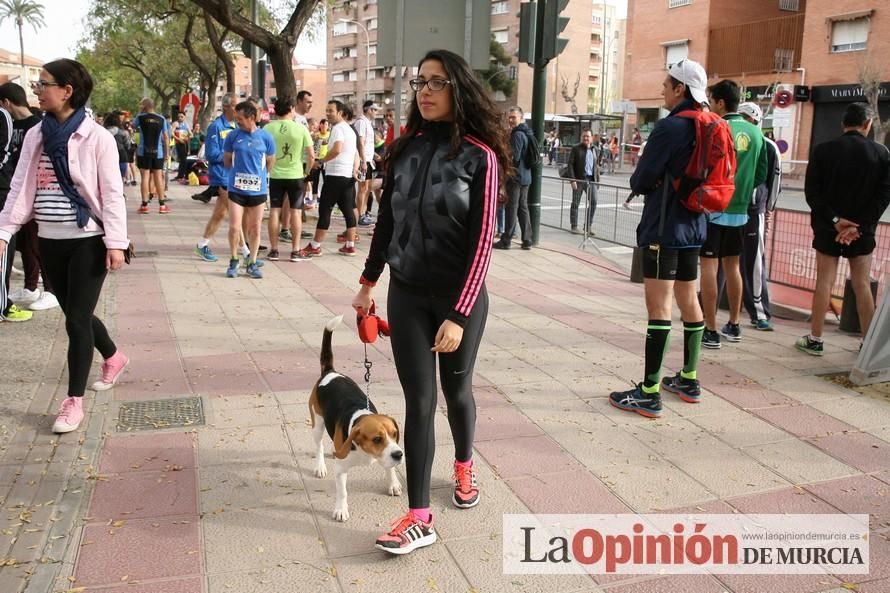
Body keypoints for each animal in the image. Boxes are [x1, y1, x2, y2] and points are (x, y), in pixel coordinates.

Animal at [306, 314, 400, 520]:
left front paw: (393, 483)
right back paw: (320, 466)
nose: (399, 454)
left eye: (395, 434)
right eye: (377, 439)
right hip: (317, 423)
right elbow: (342, 492)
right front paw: (341, 510)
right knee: (318, 445)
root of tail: (330, 372)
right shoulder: (341, 470)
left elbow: (389, 468)